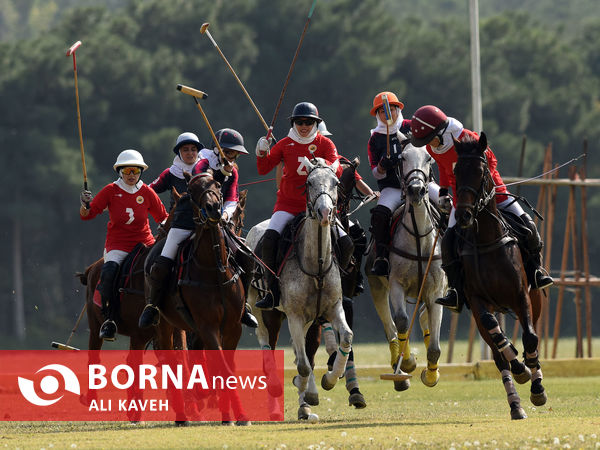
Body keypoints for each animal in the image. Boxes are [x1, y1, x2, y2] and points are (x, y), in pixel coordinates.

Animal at [247, 158, 354, 422]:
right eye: (309, 183)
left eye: (335, 182)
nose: (325, 212)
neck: (317, 265)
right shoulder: (294, 315)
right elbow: (303, 365)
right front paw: (305, 392)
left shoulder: (332, 309)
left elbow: (344, 339)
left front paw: (327, 381)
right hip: (265, 311)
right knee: (268, 346)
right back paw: (276, 398)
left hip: (307, 320)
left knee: (301, 352)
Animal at [366, 143, 446, 390]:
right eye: (401, 158)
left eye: (429, 158)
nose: (416, 190)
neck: (419, 237)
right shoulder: (396, 285)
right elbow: (401, 321)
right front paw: (408, 362)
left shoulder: (436, 290)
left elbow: (435, 346)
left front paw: (431, 376)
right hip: (377, 287)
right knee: (390, 327)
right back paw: (398, 368)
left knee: (423, 318)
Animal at [452, 132, 548, 420]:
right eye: (456, 172)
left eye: (481, 171)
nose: (463, 215)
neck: (486, 240)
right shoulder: (476, 300)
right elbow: (494, 333)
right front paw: (519, 366)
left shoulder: (521, 295)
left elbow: (531, 338)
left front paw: (537, 386)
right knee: (497, 353)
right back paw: (515, 402)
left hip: (534, 299)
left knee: (531, 336)